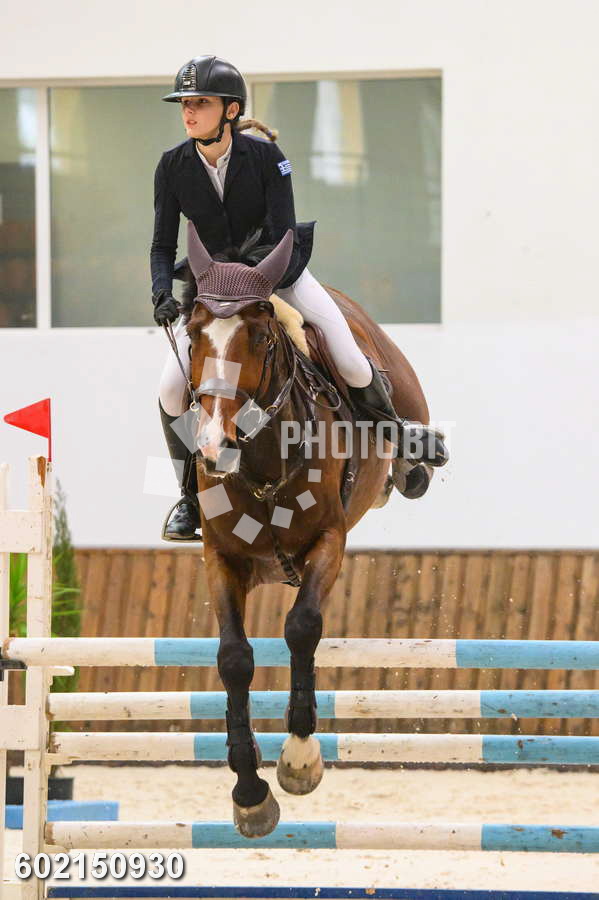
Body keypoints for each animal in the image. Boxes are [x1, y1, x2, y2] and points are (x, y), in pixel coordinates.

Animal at [177, 222, 443, 838]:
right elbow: (234, 658)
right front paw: (249, 793)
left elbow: (301, 628)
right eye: (194, 334)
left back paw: (414, 462)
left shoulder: (328, 542)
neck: (261, 462)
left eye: (258, 339)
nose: (214, 448)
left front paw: (299, 760)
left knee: (405, 439)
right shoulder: (222, 559)